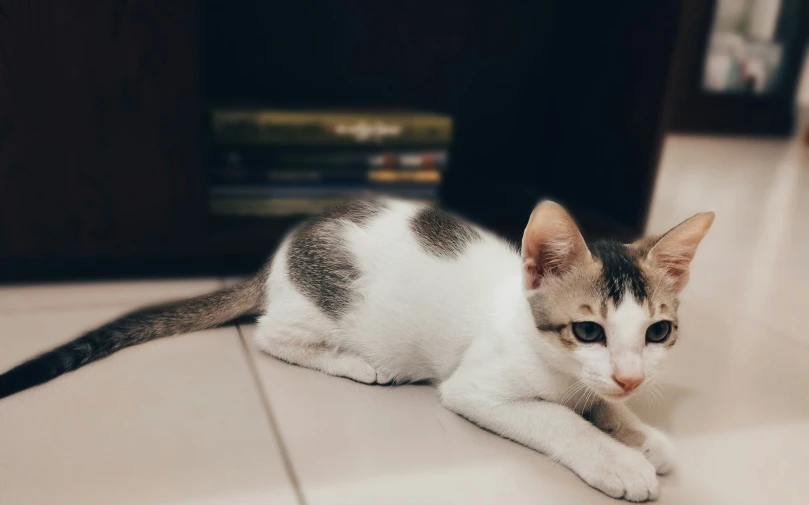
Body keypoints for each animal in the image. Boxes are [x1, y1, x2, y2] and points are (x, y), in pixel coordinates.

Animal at [0, 197, 712, 500]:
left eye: (658, 332)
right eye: (588, 330)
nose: (630, 376)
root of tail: (278, 258)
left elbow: (600, 406)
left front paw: (640, 433)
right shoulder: (477, 388)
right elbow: (560, 421)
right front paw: (619, 460)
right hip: (318, 313)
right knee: (269, 336)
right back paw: (356, 365)